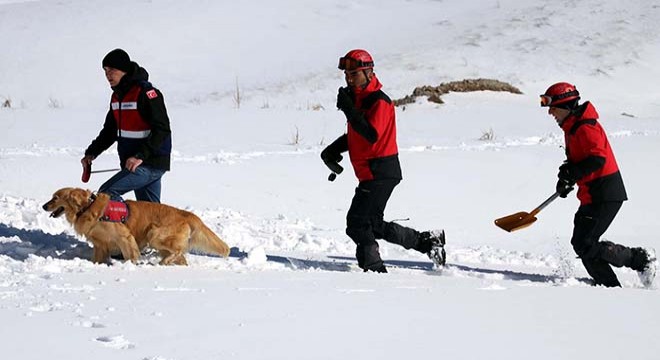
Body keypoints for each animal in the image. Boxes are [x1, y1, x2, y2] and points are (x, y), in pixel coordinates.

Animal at [41, 188, 231, 264]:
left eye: (56, 197)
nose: (43, 206)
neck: (88, 208)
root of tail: (187, 214)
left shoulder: (124, 237)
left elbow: (130, 254)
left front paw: (131, 265)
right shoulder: (100, 244)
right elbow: (97, 258)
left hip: (154, 235)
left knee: (177, 252)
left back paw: (163, 262)